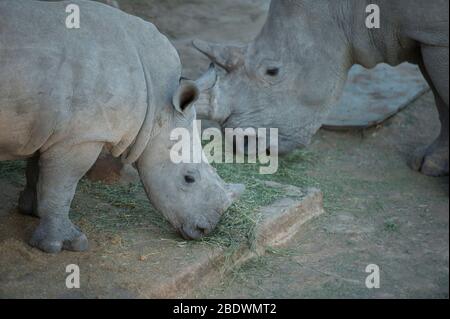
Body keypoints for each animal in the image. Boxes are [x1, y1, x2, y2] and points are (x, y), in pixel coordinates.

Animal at [0, 0, 244, 255]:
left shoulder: (54, 129)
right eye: (189, 178)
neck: (158, 104)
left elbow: (37, 170)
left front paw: (33, 211)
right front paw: (63, 245)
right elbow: (61, 186)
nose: (205, 229)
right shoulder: (81, 136)